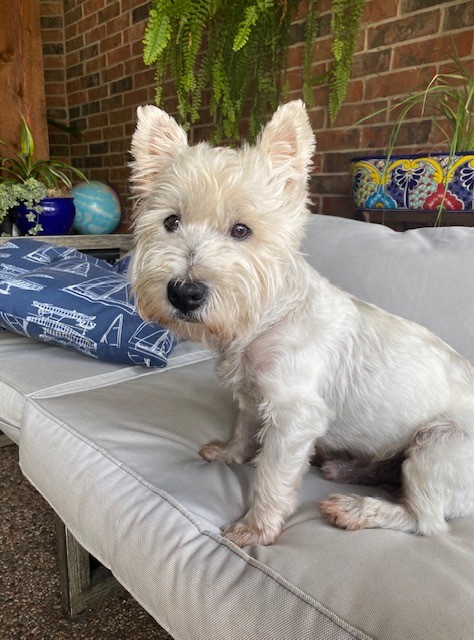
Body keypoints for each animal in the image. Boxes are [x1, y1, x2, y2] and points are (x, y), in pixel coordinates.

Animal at [129, 100, 474, 547]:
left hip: (438, 444)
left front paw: (256, 528)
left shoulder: (294, 416)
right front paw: (229, 453)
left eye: (241, 230)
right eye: (171, 222)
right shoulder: (251, 396)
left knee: (425, 520)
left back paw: (357, 507)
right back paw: (348, 468)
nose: (184, 293)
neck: (262, 318)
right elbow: (243, 427)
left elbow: (272, 476)